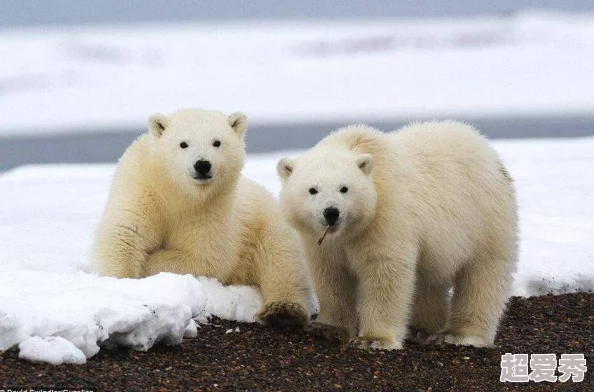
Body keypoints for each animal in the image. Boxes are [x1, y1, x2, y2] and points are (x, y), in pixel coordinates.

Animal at [89, 108, 310, 326]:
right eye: (183, 143)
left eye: (217, 142)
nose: (202, 165)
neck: (177, 191)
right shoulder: (141, 187)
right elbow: (125, 233)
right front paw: (124, 282)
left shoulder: (210, 208)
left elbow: (205, 256)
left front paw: (150, 265)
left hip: (268, 224)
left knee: (282, 261)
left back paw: (283, 310)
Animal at [276, 120, 516, 350]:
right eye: (312, 189)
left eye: (344, 188)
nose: (331, 212)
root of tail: (488, 150)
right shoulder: (321, 241)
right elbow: (330, 273)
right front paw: (327, 328)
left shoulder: (386, 216)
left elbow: (384, 269)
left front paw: (373, 339)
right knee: (428, 279)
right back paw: (421, 329)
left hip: (485, 218)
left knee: (483, 274)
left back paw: (460, 334)